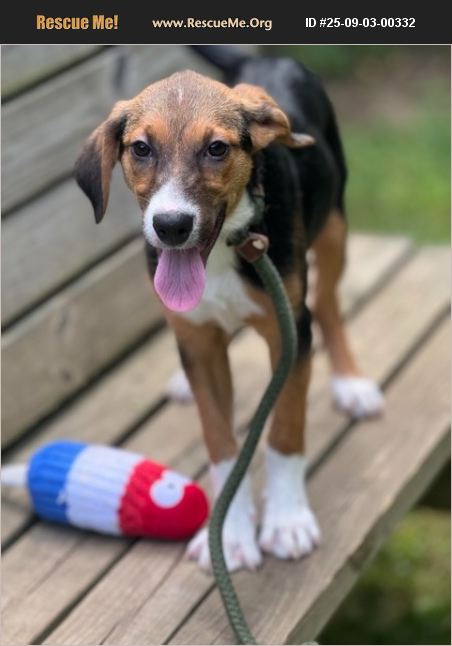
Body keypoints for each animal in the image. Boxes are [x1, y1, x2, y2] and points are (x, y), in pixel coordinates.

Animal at [75, 45, 384, 573]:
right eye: (141, 149)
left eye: (216, 149)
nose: (171, 225)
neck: (227, 246)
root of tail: (260, 63)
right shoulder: (200, 344)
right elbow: (221, 444)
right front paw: (232, 533)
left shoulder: (289, 331)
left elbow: (285, 432)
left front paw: (286, 522)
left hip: (334, 228)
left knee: (328, 303)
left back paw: (350, 382)